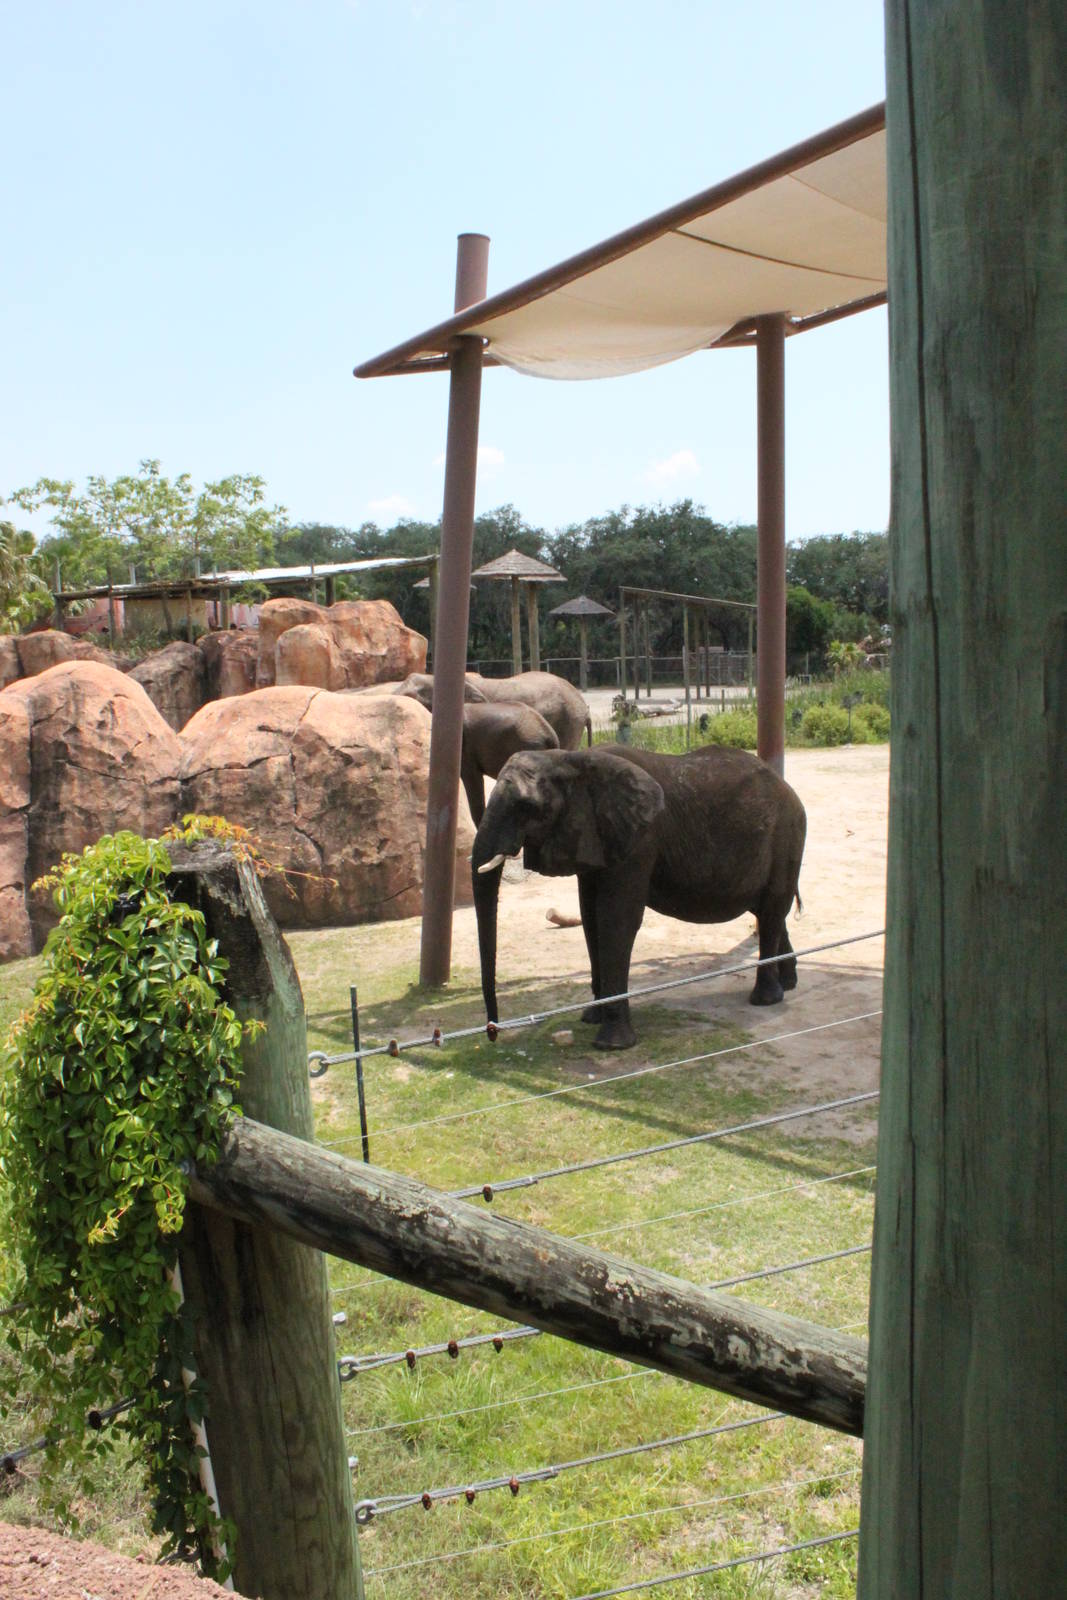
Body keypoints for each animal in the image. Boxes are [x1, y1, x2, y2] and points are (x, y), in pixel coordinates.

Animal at [471, 745, 806, 1049]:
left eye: (526, 807)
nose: (492, 1032)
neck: (568, 758)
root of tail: (788, 788)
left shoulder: (639, 840)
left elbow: (616, 918)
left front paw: (612, 1044)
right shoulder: (595, 838)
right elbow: (591, 918)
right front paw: (591, 1018)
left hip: (788, 835)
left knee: (772, 908)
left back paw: (765, 999)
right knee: (769, 911)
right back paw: (788, 983)